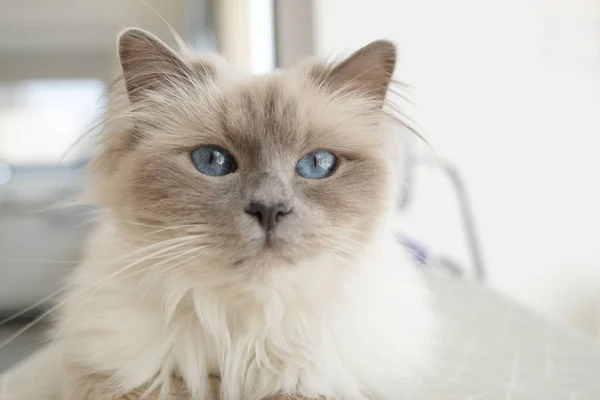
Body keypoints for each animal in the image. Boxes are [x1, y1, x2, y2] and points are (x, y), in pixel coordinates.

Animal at [0, 28, 434, 400]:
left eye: (317, 164)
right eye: (212, 161)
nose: (269, 209)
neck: (240, 338)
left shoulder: (316, 383)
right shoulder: (118, 379)